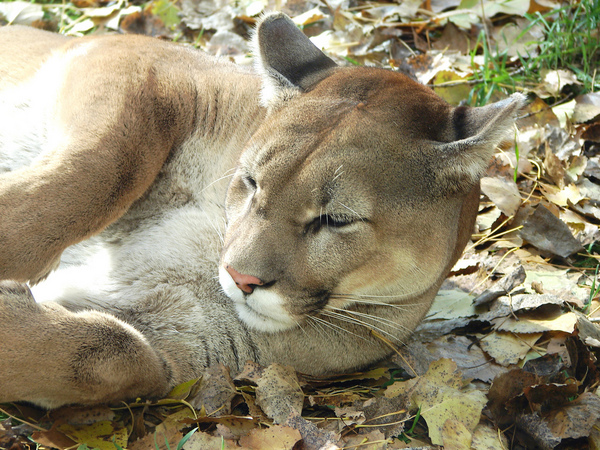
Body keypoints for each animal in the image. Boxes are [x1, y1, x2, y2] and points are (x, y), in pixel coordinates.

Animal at [0, 13, 524, 408]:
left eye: (336, 220)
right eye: (251, 181)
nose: (240, 277)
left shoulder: (176, 350)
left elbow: (116, 354)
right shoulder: (136, 62)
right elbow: (106, 166)